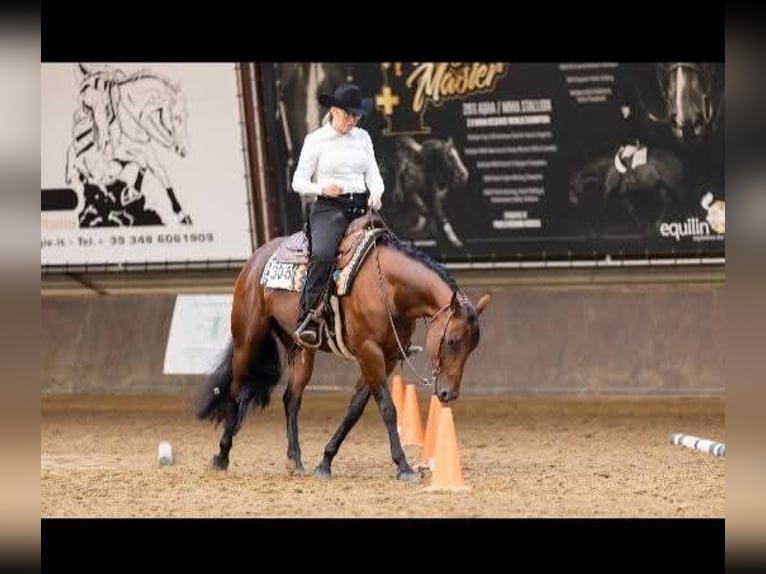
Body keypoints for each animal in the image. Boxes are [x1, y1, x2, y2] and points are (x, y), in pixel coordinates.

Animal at [195, 218, 488, 484]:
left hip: (301, 349)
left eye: (473, 347)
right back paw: (221, 456)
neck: (388, 285)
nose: (448, 393)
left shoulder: (388, 356)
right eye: (453, 341)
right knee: (235, 390)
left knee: (291, 398)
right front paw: (404, 466)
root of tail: (256, 258)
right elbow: (387, 407)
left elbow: (355, 408)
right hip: (247, 338)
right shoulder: (369, 352)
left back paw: (295, 460)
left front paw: (325, 462)